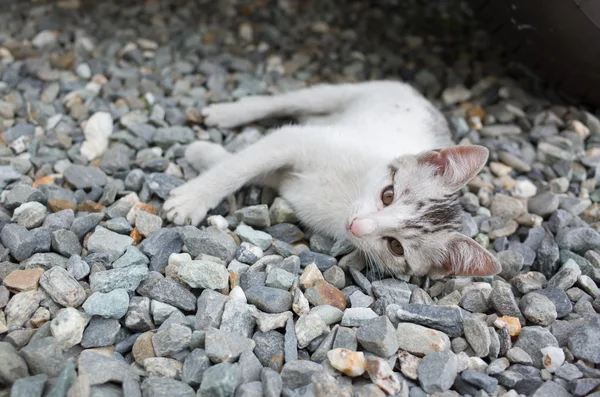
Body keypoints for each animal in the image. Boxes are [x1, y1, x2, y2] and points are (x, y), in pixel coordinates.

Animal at [163, 80, 502, 276]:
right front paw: (194, 193)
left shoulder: (287, 179)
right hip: (347, 93)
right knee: (288, 101)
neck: (345, 196)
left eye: (396, 247)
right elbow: (239, 166)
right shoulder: (294, 141)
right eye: (388, 194)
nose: (357, 226)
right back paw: (227, 112)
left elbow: (255, 170)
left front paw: (204, 155)